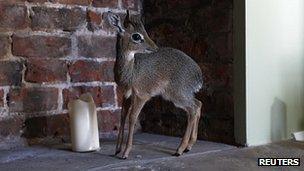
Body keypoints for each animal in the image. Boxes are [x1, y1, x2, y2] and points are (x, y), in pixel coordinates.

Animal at [107, 11, 204, 159]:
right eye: (136, 36)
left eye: (145, 32)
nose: (154, 47)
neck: (132, 70)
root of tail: (198, 75)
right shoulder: (127, 95)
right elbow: (123, 116)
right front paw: (117, 150)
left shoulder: (142, 95)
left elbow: (132, 118)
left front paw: (125, 152)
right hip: (181, 95)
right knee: (198, 105)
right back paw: (189, 146)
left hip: (177, 95)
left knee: (193, 109)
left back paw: (179, 149)